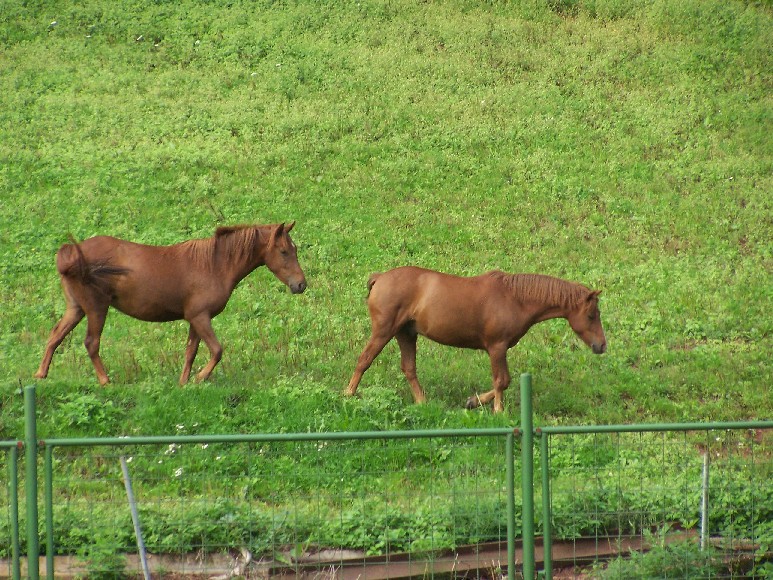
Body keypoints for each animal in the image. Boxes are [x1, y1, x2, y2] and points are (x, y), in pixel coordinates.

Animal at [35, 222, 308, 386]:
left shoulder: (195, 319)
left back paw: (41, 374)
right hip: (96, 308)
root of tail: (72, 252)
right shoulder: (200, 317)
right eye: (284, 251)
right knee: (91, 343)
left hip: (76, 309)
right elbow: (217, 350)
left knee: (55, 336)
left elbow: (190, 352)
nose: (301, 284)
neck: (215, 264)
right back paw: (105, 381)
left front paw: (184, 382)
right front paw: (200, 377)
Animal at [346, 266, 608, 412]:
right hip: (384, 331)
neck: (515, 298)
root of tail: (380, 277)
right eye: (591, 315)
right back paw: (348, 395)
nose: (601, 346)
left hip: (406, 334)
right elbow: (502, 381)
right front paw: (498, 410)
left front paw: (473, 401)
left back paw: (422, 403)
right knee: (364, 360)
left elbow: (502, 382)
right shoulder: (497, 347)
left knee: (408, 368)